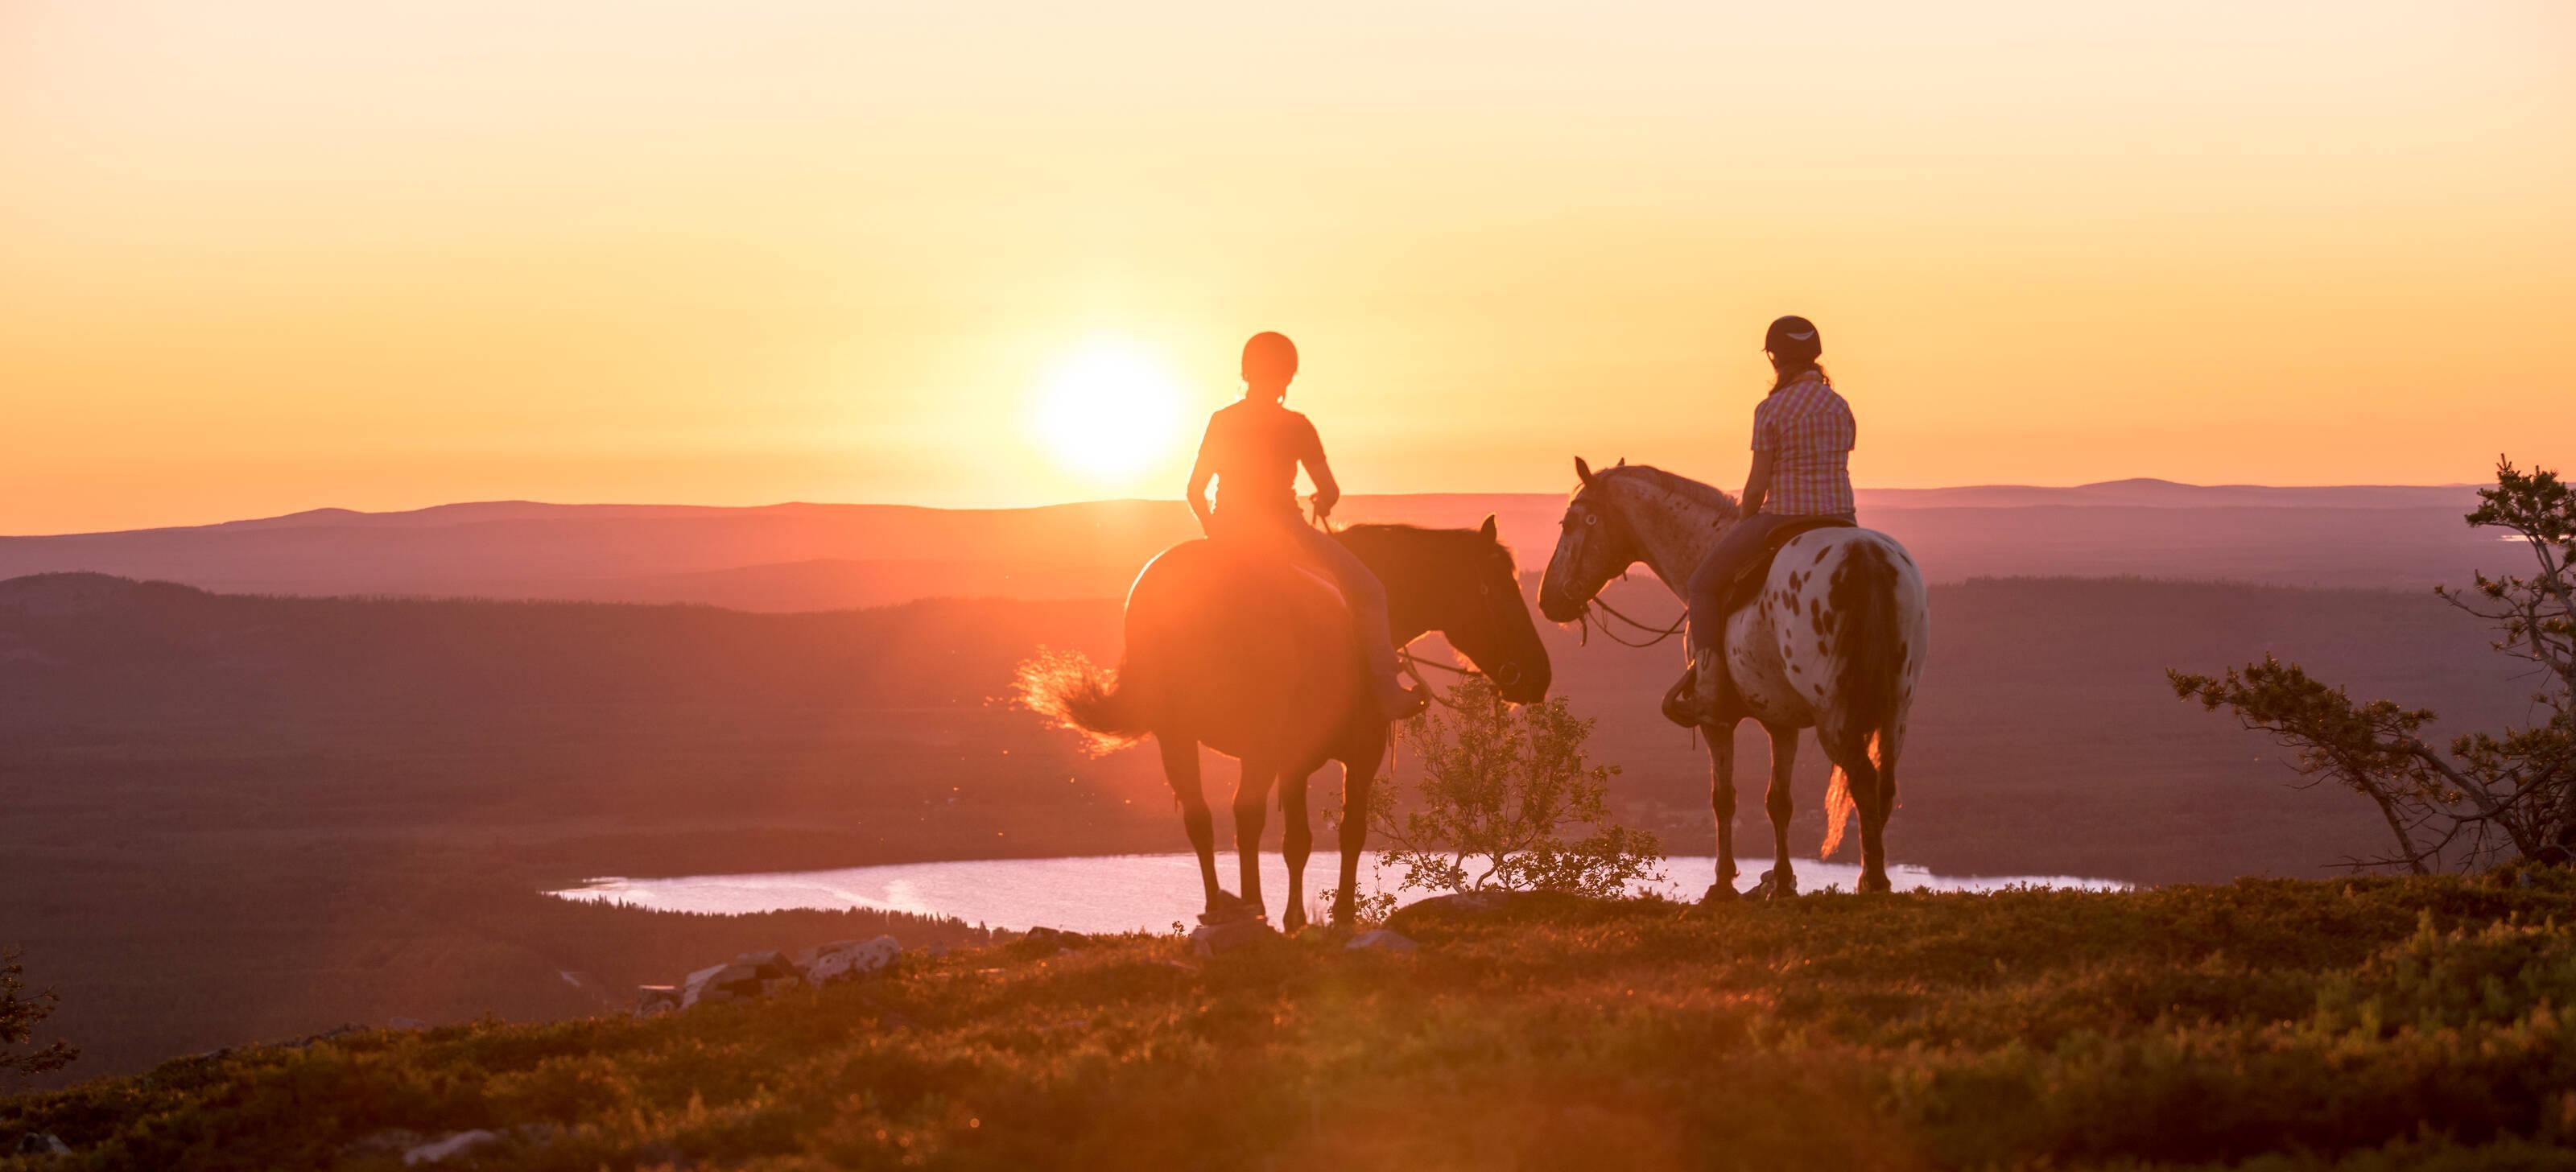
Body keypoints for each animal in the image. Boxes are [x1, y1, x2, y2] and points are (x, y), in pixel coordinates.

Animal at [1020, 518, 1546, 932]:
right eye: (1501, 588)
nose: (1538, 673)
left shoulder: (1295, 762)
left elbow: (1297, 841)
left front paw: (1297, 917)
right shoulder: (1357, 754)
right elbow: (1343, 833)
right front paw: (1334, 916)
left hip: (1179, 737)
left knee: (1202, 818)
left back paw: (1221, 907)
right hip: (1256, 738)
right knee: (1245, 814)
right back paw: (1251, 906)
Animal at [1525, 458, 1937, 902]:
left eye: (1570, 524)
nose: (1548, 600)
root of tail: (1866, 556)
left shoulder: (1716, 721)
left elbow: (1722, 799)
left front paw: (1722, 883)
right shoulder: (1781, 721)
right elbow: (1779, 802)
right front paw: (1783, 882)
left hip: (1835, 716)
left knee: (1862, 777)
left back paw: (1873, 881)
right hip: (1895, 710)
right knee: (1884, 785)